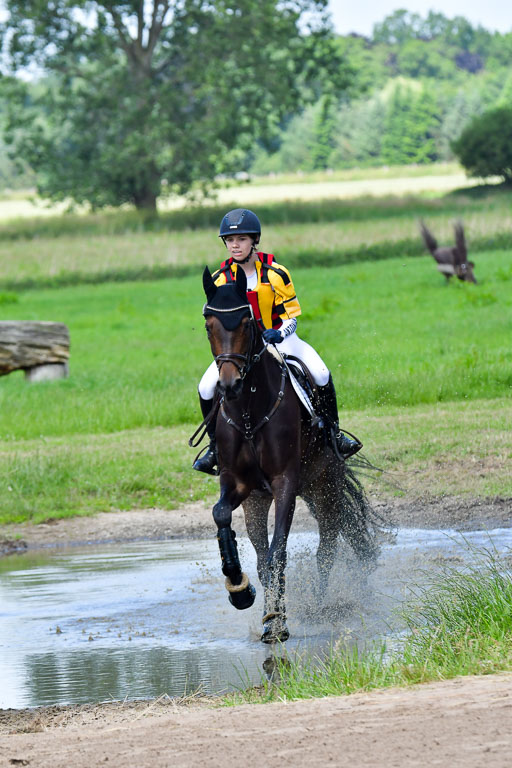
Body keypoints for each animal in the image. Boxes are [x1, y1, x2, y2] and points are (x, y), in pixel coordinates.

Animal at [193, 265, 381, 643]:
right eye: (209, 325)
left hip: (325, 488)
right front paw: (241, 590)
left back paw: (321, 607)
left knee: (327, 548)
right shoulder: (240, 486)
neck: (249, 412)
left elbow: (278, 550)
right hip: (272, 497)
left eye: (246, 323)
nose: (230, 384)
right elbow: (224, 518)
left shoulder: (285, 484)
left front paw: (278, 620)